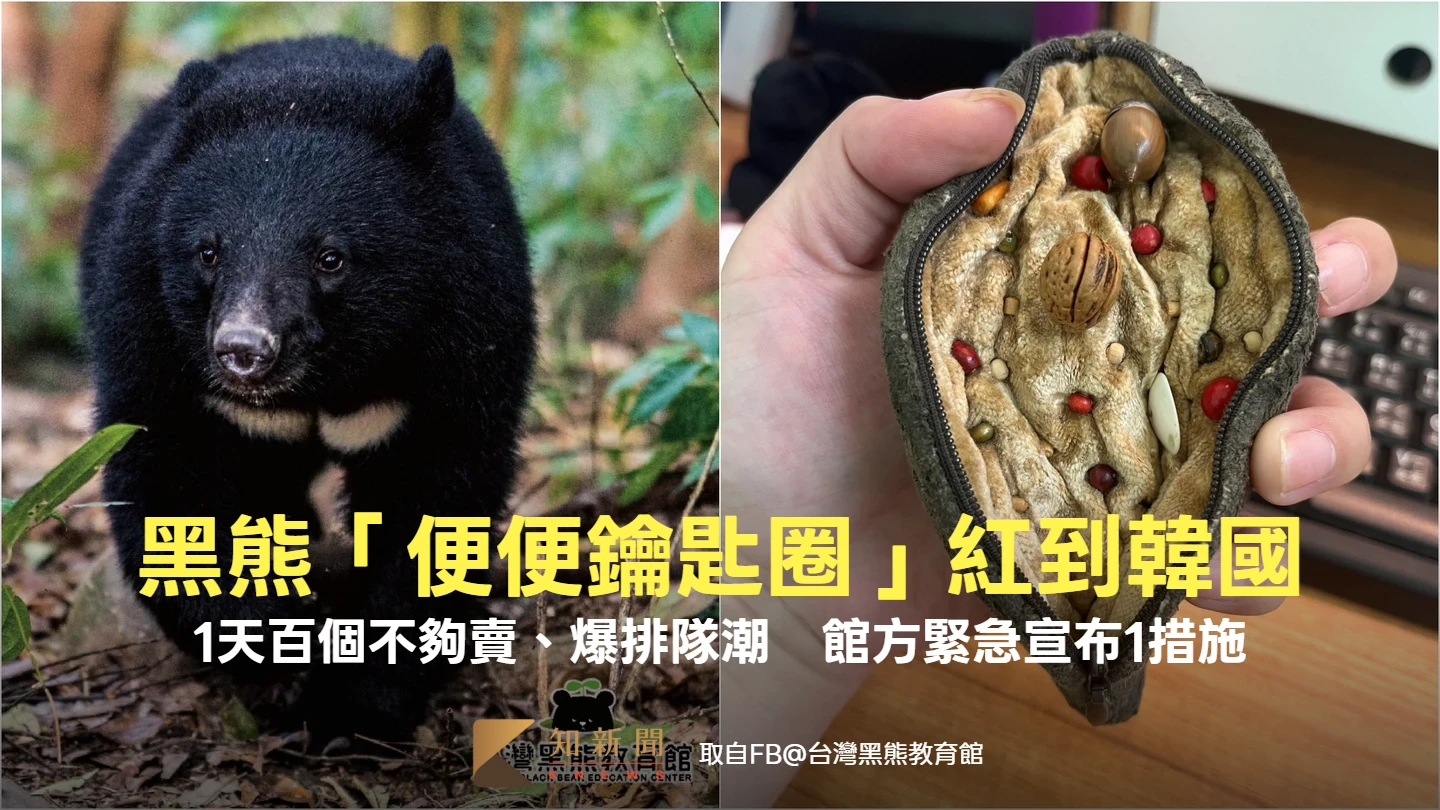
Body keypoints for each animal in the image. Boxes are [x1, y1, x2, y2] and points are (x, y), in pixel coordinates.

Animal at [76, 36, 536, 747]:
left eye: (330, 257)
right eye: (208, 252)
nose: (243, 351)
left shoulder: (469, 333)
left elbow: (438, 496)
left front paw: (354, 711)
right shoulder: (147, 322)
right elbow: (163, 469)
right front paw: (268, 636)